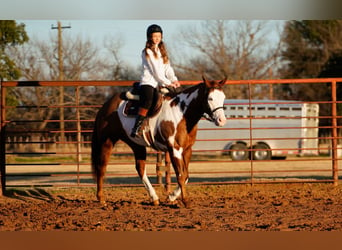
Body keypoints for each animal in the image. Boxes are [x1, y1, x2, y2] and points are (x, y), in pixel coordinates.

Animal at [91, 76, 227, 207]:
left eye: (223, 97)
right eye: (210, 98)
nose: (222, 120)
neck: (181, 113)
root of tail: (106, 106)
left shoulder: (187, 149)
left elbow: (186, 175)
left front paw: (171, 196)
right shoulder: (174, 149)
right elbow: (180, 175)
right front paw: (185, 201)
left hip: (136, 144)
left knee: (140, 168)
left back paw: (154, 198)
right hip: (107, 141)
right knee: (101, 167)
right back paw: (101, 199)